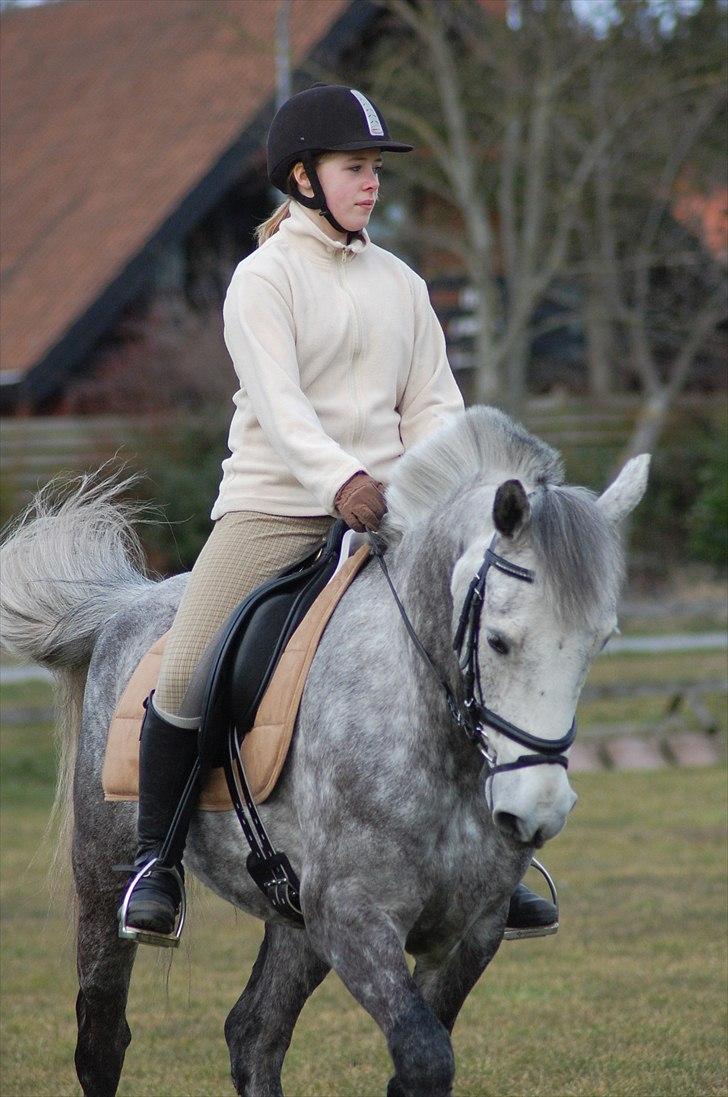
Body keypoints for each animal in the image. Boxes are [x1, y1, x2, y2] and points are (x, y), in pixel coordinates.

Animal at [0, 406, 649, 1097]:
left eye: (600, 640)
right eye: (498, 641)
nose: (537, 811)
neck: (433, 739)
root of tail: (127, 607)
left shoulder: (470, 932)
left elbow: (422, 1057)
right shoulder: (353, 919)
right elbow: (425, 1056)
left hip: (294, 920)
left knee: (254, 1034)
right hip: (104, 877)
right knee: (102, 1037)